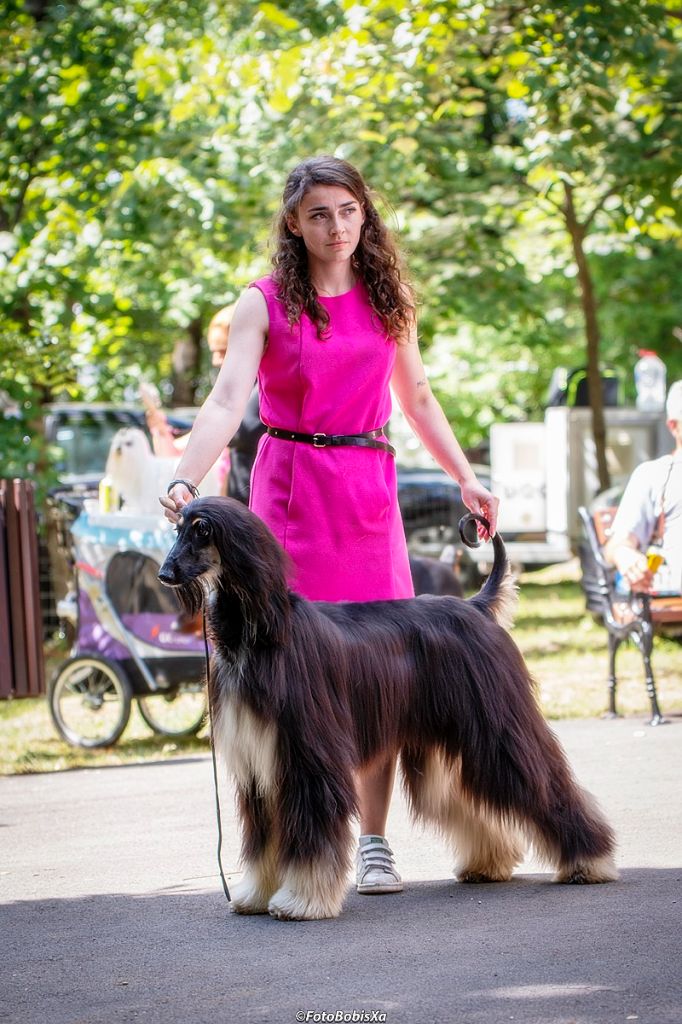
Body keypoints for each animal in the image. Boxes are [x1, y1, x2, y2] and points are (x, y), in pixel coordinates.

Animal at [157, 495, 614, 921]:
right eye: (178, 527)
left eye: (202, 530)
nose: (164, 573)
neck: (256, 634)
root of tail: (475, 605)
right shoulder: (258, 767)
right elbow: (263, 840)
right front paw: (254, 894)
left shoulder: (308, 759)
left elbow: (312, 837)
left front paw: (301, 900)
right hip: (446, 746)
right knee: (460, 797)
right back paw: (488, 863)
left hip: (498, 728)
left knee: (544, 783)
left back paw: (589, 862)